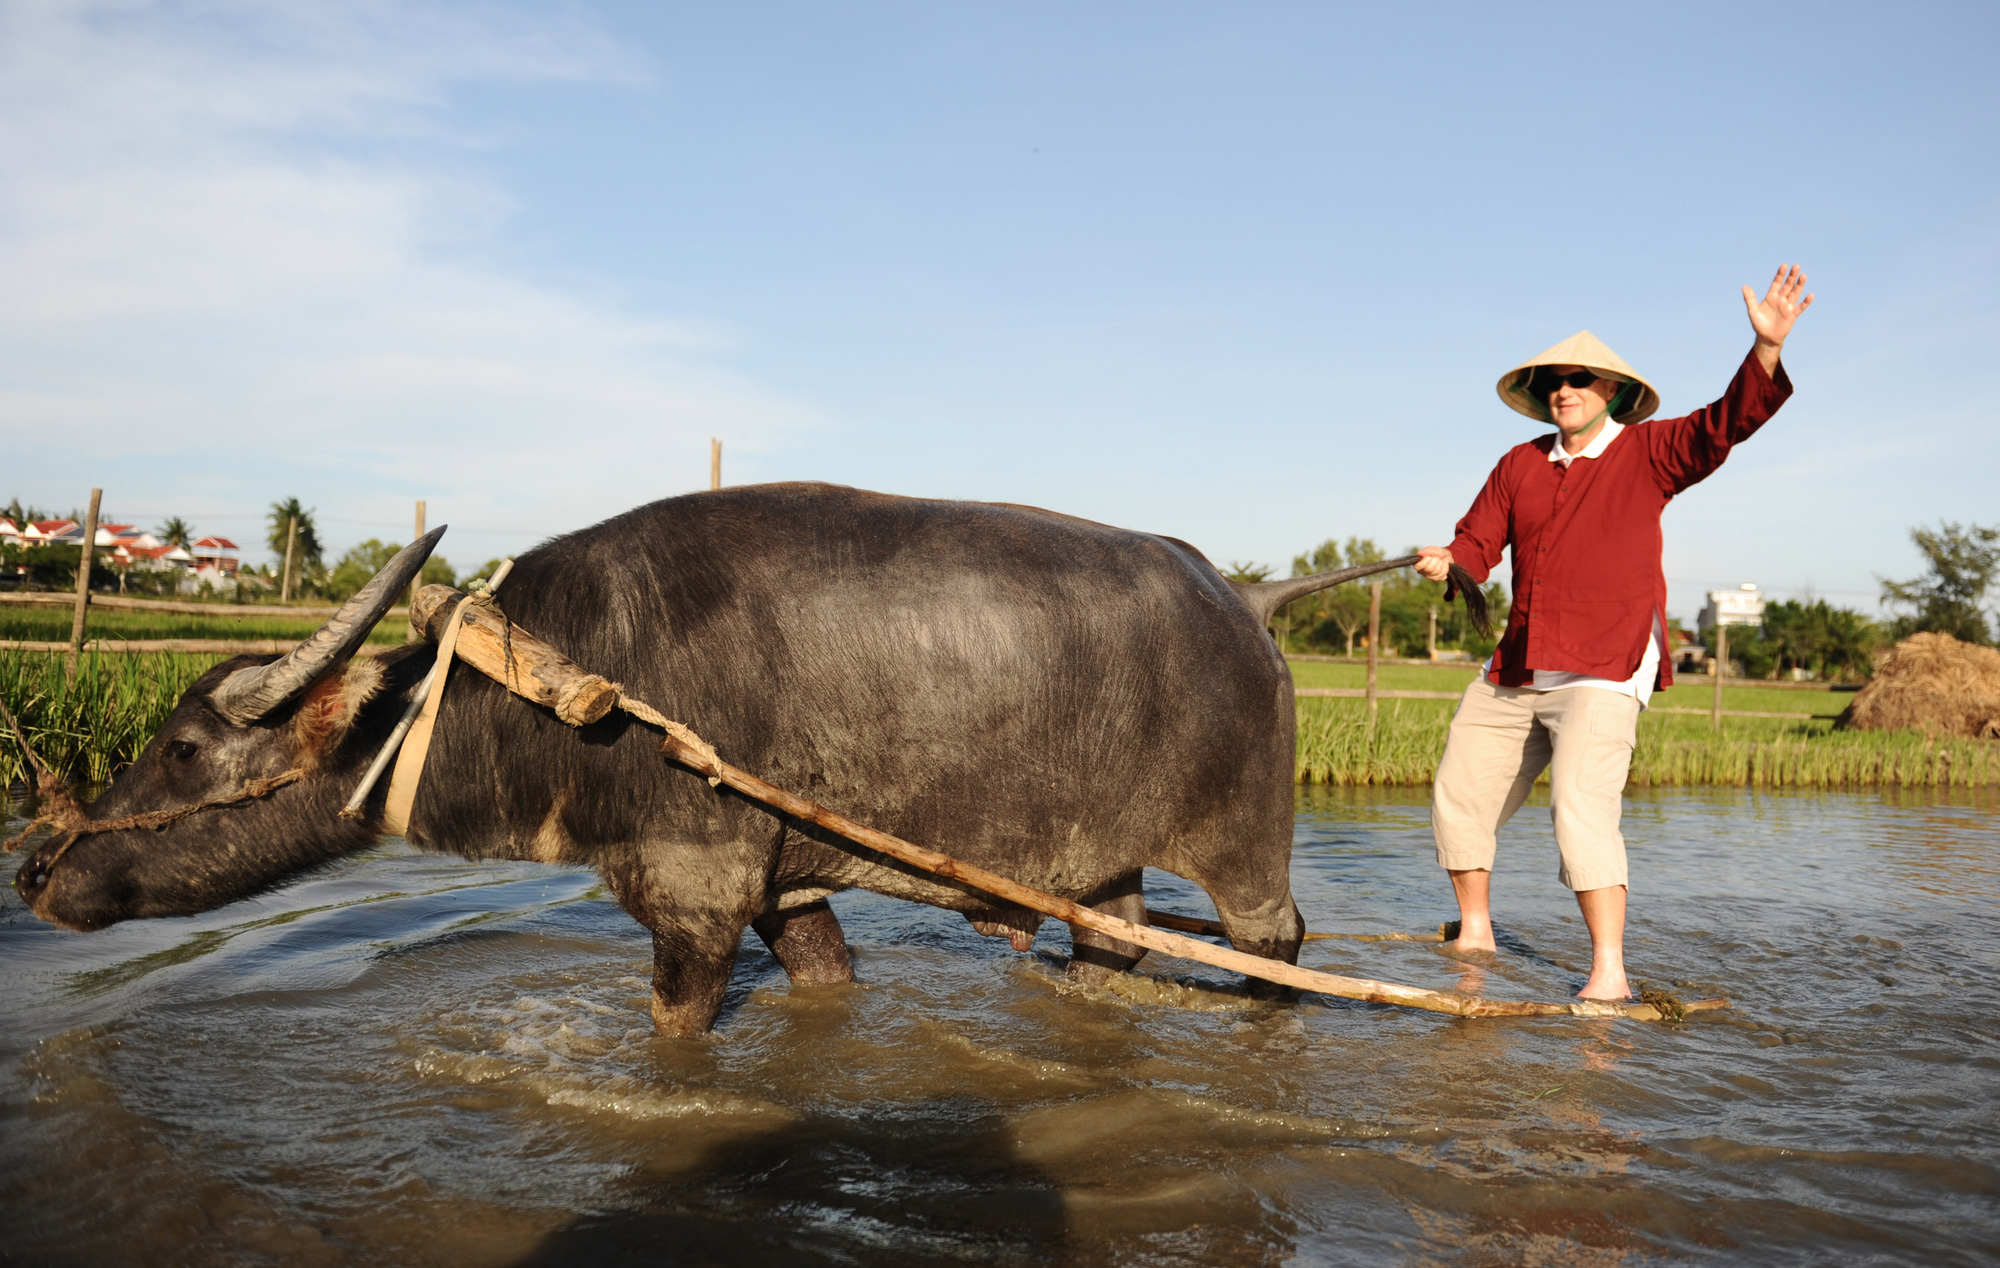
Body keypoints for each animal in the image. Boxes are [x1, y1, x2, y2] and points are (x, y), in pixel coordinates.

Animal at [15, 482, 1392, 1024]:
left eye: (183, 745)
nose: (39, 871)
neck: (569, 691)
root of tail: (1247, 601)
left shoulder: (696, 901)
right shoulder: (786, 895)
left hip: (1243, 855)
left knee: (1277, 948)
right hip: (1098, 871)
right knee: (1107, 947)